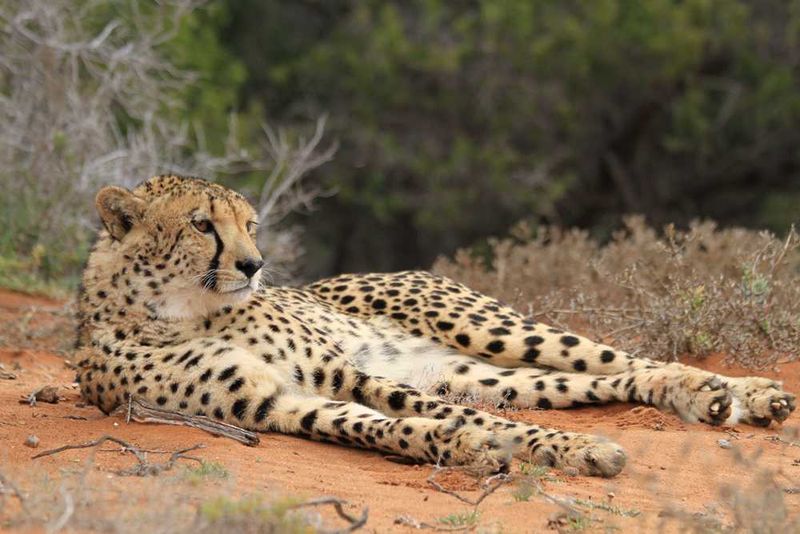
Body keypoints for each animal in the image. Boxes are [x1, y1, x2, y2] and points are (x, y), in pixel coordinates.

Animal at [74, 175, 796, 478]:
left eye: (249, 224)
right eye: (202, 224)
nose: (254, 265)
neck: (178, 309)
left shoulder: (342, 372)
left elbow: (447, 418)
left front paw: (554, 449)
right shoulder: (273, 402)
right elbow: (381, 425)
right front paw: (467, 449)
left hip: (490, 329)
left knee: (622, 359)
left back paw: (734, 391)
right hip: (480, 373)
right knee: (593, 383)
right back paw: (709, 401)